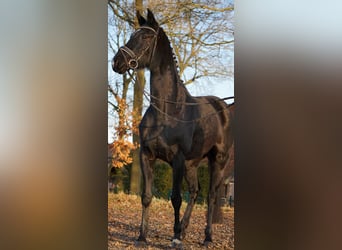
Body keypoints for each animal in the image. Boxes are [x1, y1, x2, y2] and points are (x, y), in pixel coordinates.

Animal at [112, 8, 235, 247]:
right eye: (132, 34)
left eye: (146, 37)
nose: (117, 62)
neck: (168, 111)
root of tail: (223, 107)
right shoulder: (147, 155)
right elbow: (147, 197)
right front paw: (142, 236)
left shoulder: (177, 159)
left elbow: (176, 198)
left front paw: (175, 238)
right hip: (192, 164)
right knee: (195, 191)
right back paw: (184, 230)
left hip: (217, 160)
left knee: (210, 196)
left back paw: (206, 237)